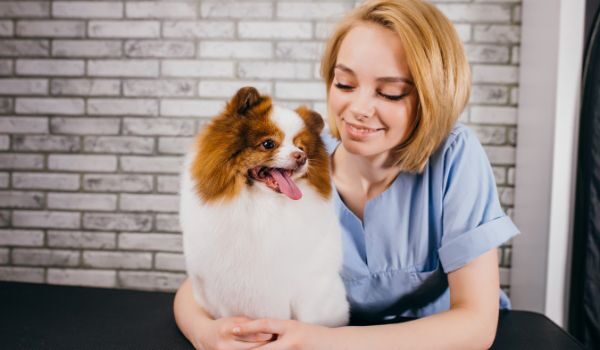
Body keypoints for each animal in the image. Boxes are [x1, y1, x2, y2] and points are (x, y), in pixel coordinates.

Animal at [177, 87, 346, 326]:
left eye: (300, 147)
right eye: (268, 144)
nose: (301, 156)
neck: (264, 206)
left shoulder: (309, 286)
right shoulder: (222, 290)